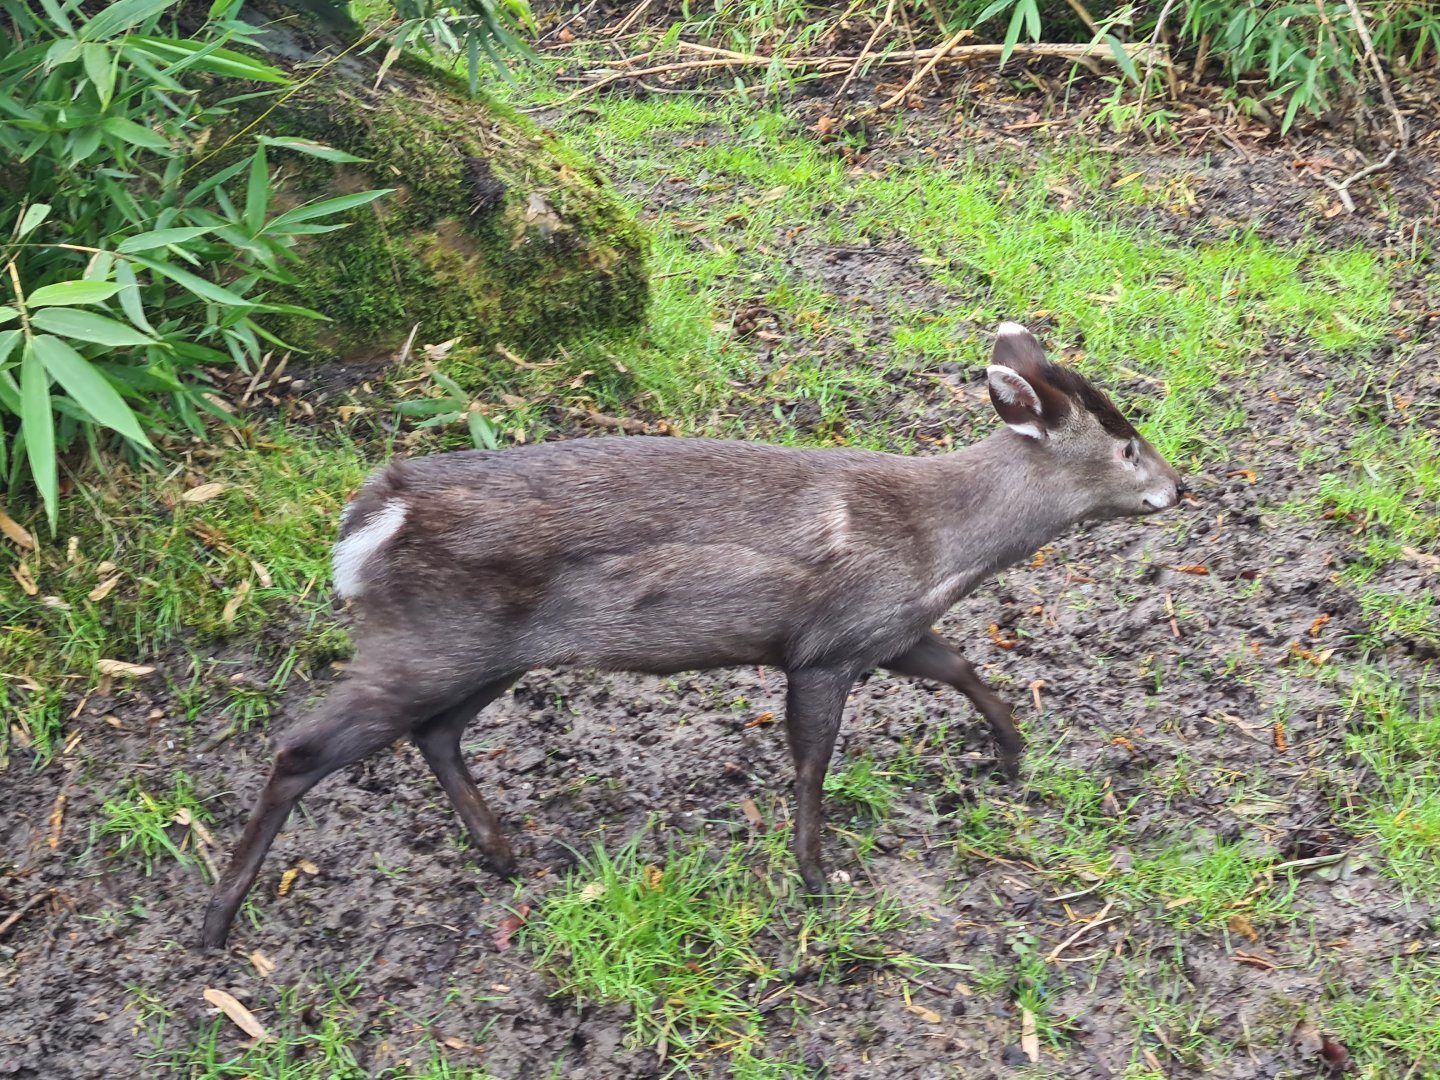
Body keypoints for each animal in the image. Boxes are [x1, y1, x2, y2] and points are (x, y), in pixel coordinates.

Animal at [201, 323, 1184, 948]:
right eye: (1125, 443)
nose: (1180, 488)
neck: (935, 544)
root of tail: (373, 519)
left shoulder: (883, 632)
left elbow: (962, 667)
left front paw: (1016, 754)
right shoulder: (825, 646)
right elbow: (811, 764)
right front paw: (816, 880)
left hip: (481, 653)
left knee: (434, 733)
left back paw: (506, 856)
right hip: (426, 641)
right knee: (303, 748)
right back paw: (217, 922)